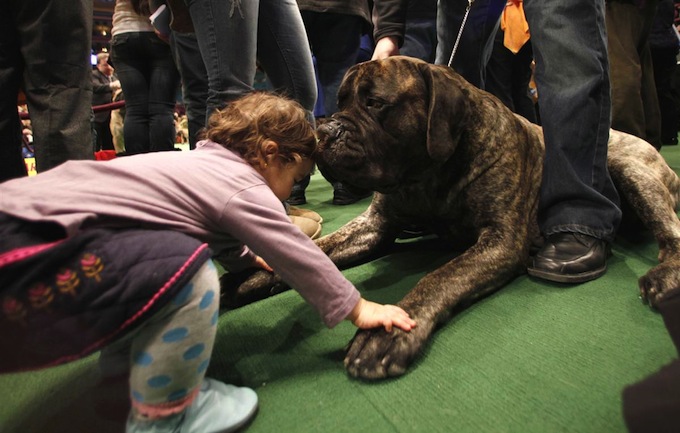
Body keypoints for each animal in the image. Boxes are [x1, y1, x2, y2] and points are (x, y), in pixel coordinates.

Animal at [226, 55, 680, 380]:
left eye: (375, 103)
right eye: (340, 102)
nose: (325, 132)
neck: (427, 174)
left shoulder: (500, 240)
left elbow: (438, 277)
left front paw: (388, 334)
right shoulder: (373, 227)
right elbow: (315, 250)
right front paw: (249, 277)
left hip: (629, 168)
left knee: (671, 233)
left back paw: (663, 278)